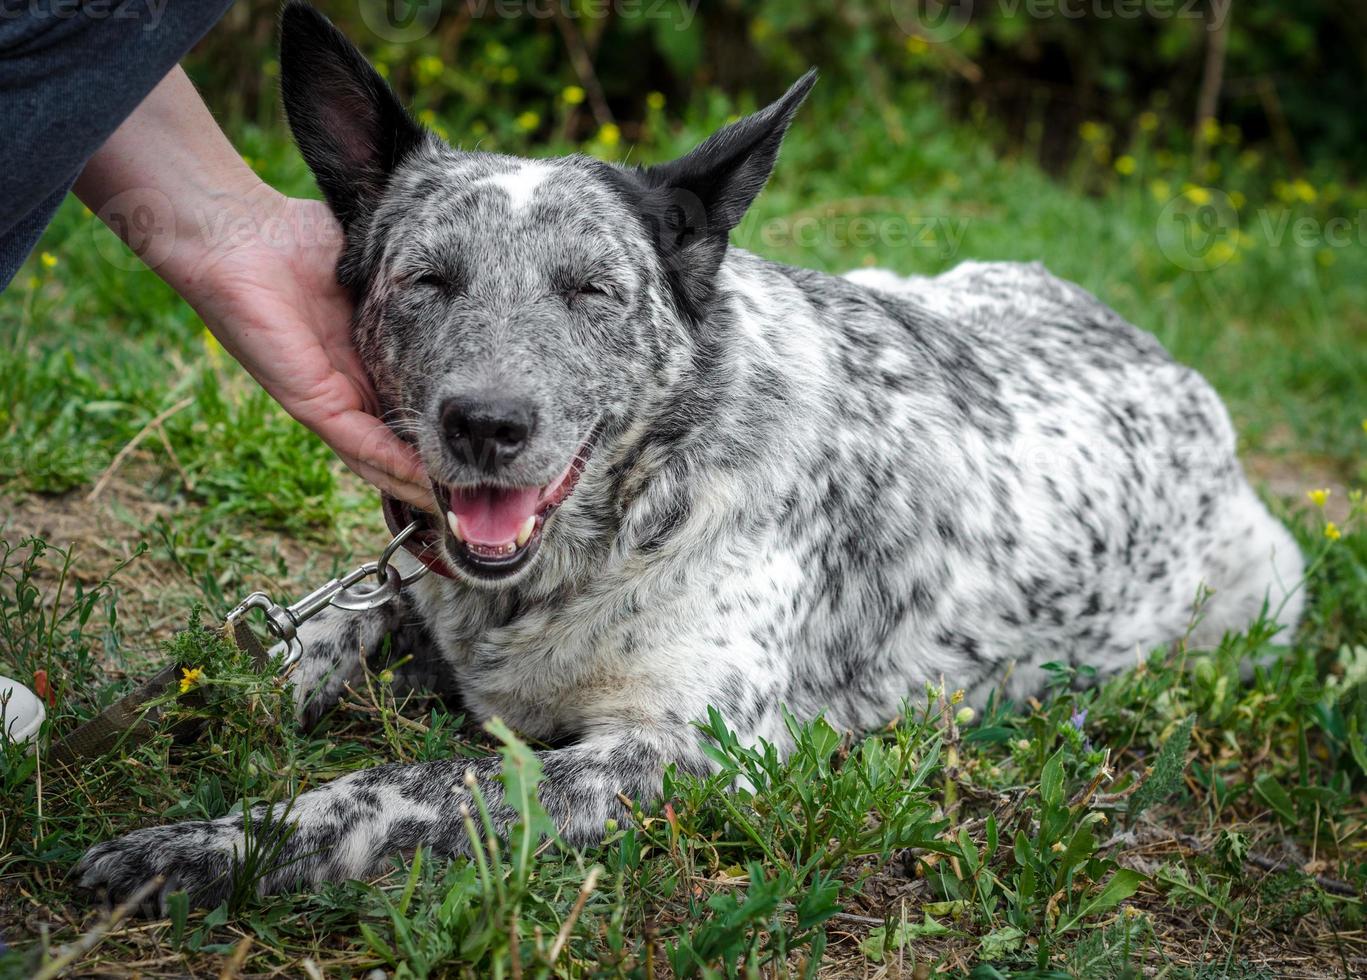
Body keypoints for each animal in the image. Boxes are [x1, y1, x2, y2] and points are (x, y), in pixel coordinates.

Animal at [74, 0, 1301, 907]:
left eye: (591, 290)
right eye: (426, 278)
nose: (486, 423)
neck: (626, 514)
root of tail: (1172, 366)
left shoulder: (674, 749)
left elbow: (396, 785)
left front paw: (210, 843)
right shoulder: (412, 589)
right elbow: (287, 638)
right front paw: (160, 715)